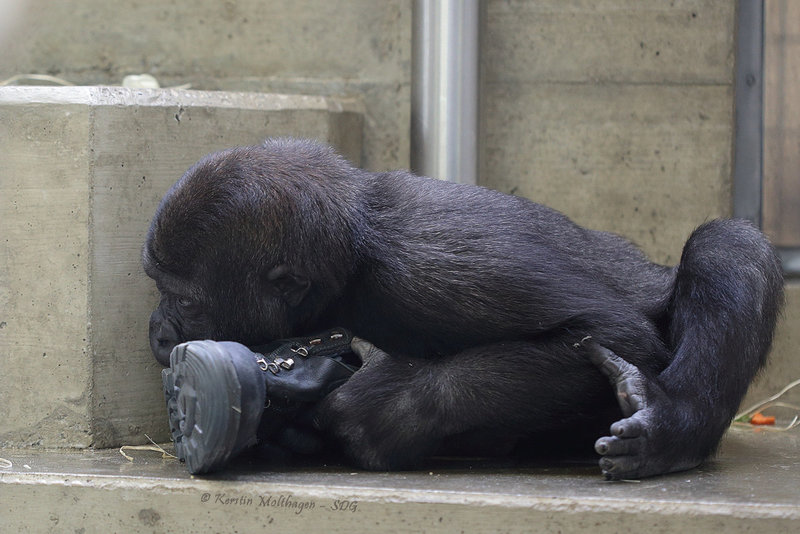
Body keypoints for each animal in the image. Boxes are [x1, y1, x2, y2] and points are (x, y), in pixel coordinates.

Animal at [142, 138, 780, 482]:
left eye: (185, 300)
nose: (158, 329)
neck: (351, 258)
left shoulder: (432, 267)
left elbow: (613, 332)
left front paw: (377, 412)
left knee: (726, 247)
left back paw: (673, 431)